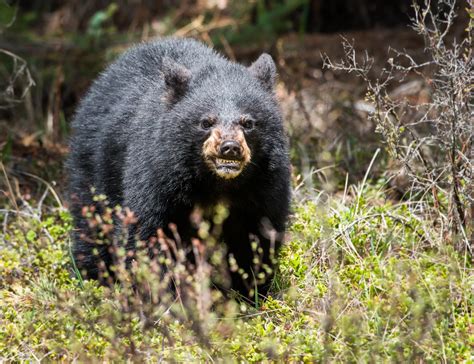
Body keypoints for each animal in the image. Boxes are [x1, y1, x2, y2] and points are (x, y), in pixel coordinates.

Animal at [66, 37, 288, 298]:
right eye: (206, 122)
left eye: (248, 122)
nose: (230, 148)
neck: (217, 185)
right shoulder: (157, 174)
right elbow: (148, 233)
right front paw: (162, 295)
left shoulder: (265, 184)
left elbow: (258, 236)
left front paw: (250, 292)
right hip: (94, 165)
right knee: (91, 224)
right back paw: (91, 278)